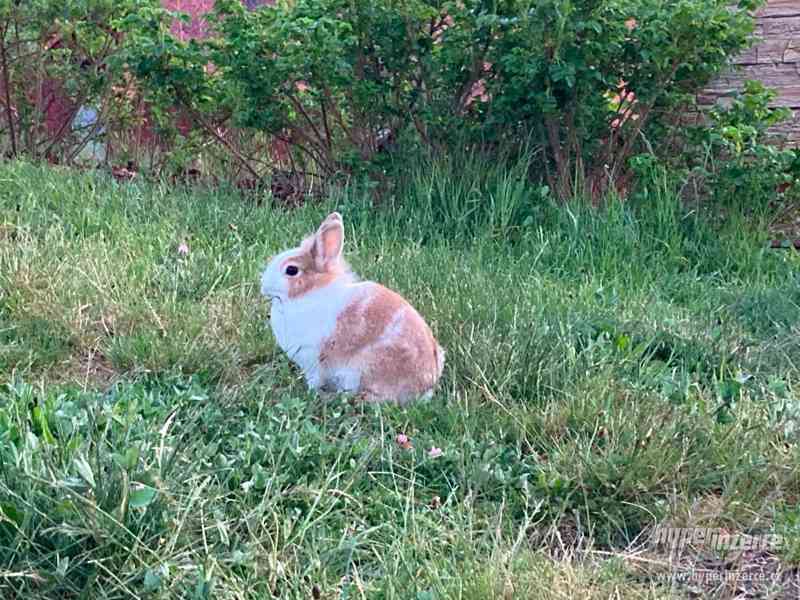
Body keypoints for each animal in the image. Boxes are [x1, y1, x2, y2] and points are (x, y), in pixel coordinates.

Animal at [260, 211, 444, 404]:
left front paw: (311, 392)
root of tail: (425, 385)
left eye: (291, 270)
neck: (310, 291)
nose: (263, 285)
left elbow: (314, 380)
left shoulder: (313, 361)